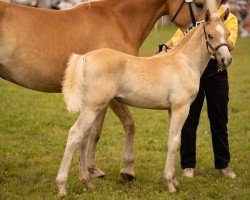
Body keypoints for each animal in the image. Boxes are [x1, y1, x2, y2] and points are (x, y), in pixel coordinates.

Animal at [0, 0, 219, 184]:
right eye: (199, 4)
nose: (203, 27)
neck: (118, 19)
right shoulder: (112, 97)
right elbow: (122, 126)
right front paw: (125, 169)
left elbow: (94, 132)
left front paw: (92, 170)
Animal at [59, 9, 231, 195]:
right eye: (210, 35)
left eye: (228, 33)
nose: (226, 60)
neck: (183, 62)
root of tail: (86, 57)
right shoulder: (181, 108)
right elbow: (174, 142)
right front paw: (170, 184)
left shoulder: (171, 109)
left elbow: (173, 140)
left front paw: (174, 181)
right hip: (93, 107)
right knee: (75, 134)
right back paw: (61, 186)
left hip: (93, 108)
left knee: (83, 138)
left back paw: (87, 182)